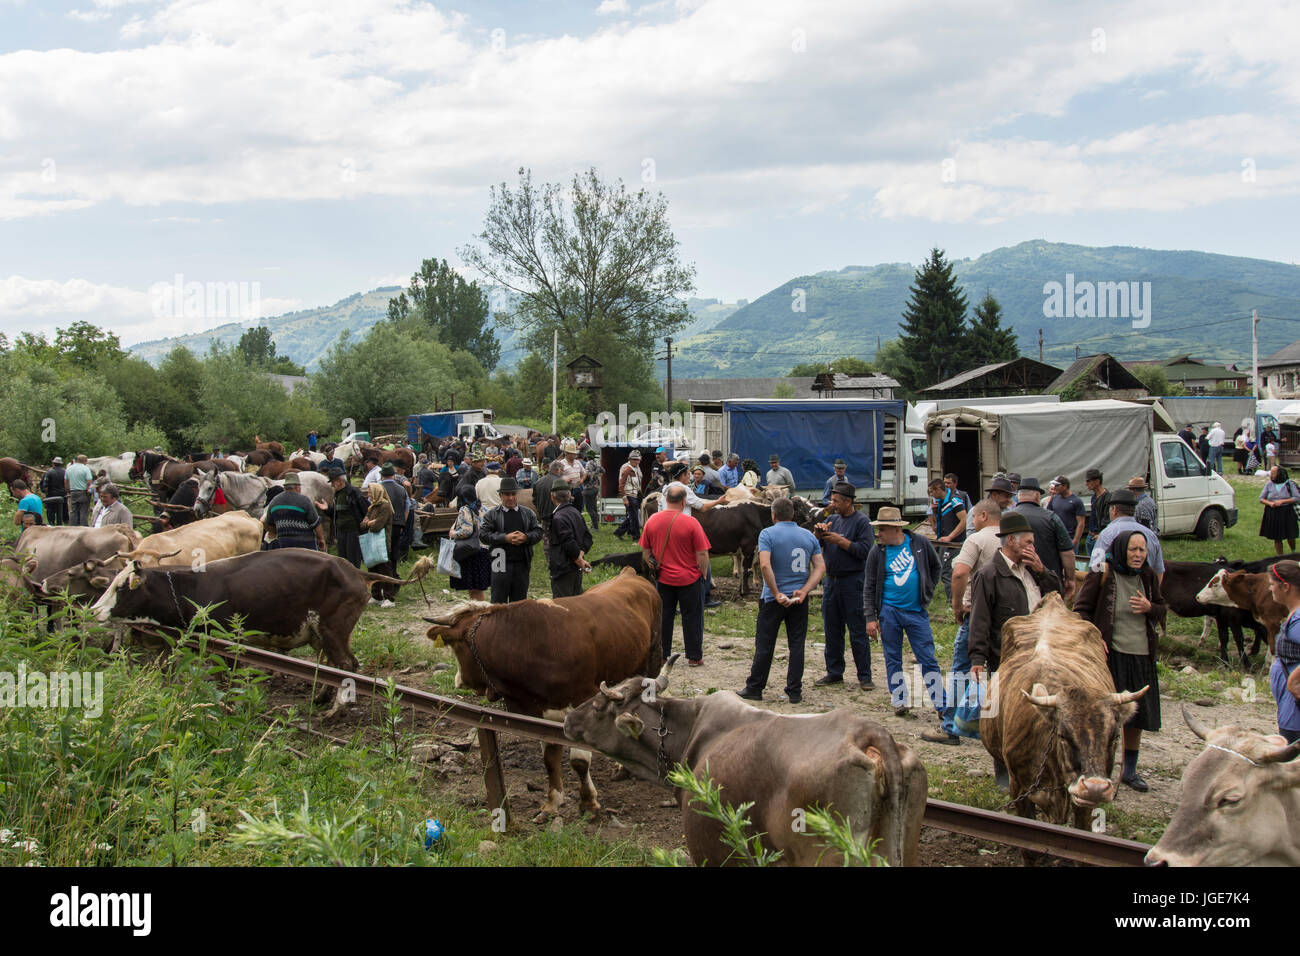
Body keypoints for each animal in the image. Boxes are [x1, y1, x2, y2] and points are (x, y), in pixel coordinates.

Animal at [423, 567, 655, 822]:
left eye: (456, 648)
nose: (459, 680)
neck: (528, 643)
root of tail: (629, 573)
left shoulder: (583, 699)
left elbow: (579, 761)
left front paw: (588, 804)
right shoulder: (540, 712)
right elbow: (550, 759)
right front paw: (551, 803)